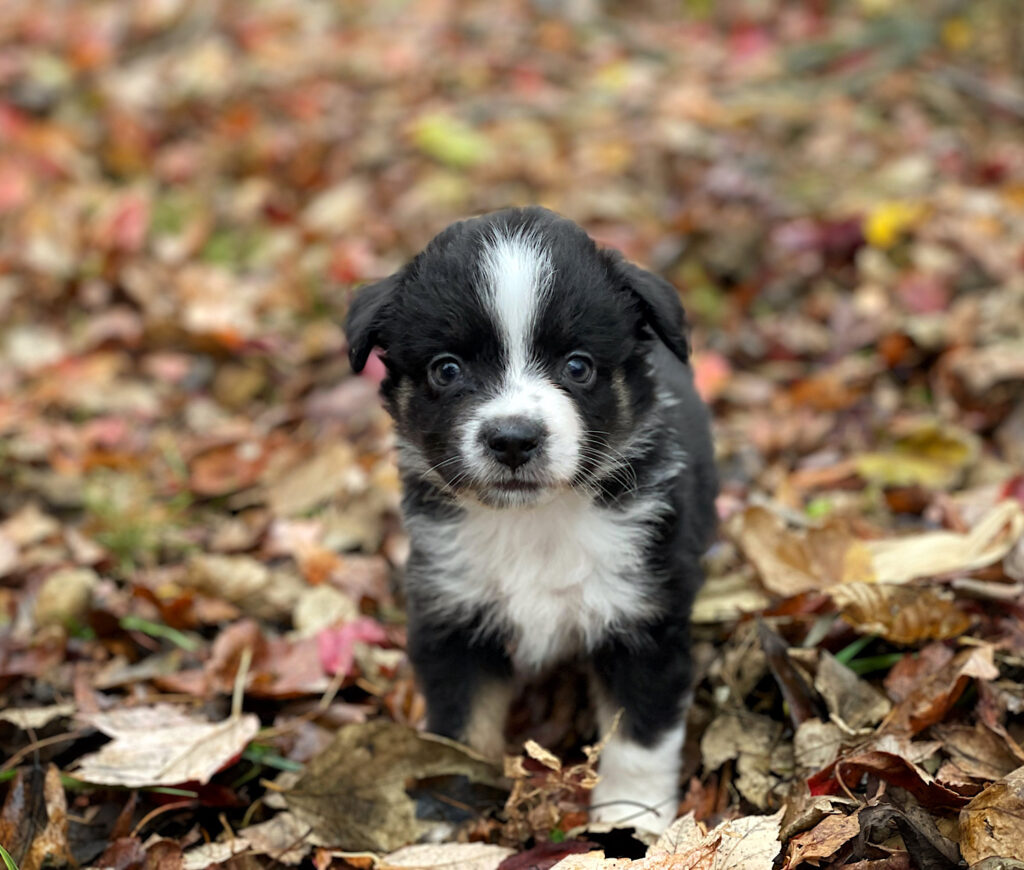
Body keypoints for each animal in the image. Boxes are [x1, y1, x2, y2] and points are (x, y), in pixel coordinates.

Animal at [344, 206, 712, 831]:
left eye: (578, 366)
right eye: (446, 370)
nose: (513, 439)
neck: (535, 522)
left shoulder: (643, 616)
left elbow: (639, 735)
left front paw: (629, 820)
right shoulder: (453, 614)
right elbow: (461, 729)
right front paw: (449, 813)